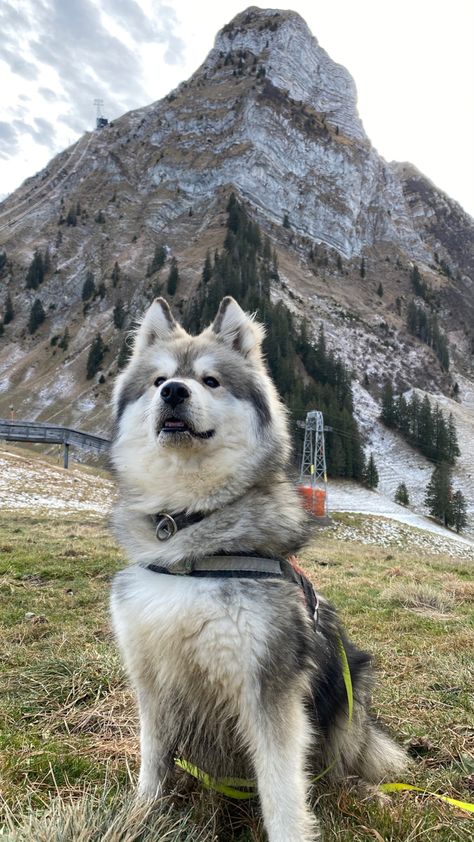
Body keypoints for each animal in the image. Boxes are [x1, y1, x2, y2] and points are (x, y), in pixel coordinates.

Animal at [109, 296, 406, 840]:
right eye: (159, 379)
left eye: (210, 380)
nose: (174, 391)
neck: (190, 537)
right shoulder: (151, 678)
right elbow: (153, 762)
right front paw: (140, 815)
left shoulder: (268, 688)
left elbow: (283, 791)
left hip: (352, 684)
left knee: (340, 765)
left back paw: (363, 792)